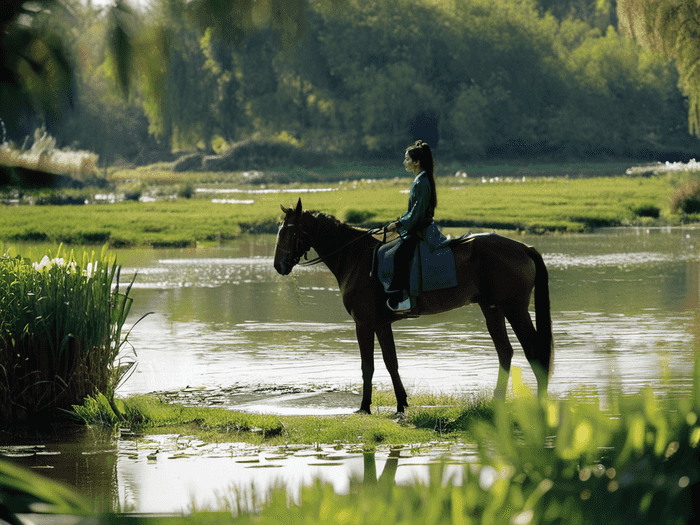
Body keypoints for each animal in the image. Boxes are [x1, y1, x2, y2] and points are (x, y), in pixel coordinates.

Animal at [274, 199, 552, 412]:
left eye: (289, 231)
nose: (278, 265)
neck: (357, 258)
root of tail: (523, 247)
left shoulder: (363, 324)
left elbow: (368, 366)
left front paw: (364, 407)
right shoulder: (381, 324)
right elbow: (391, 362)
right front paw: (401, 403)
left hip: (514, 309)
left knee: (534, 351)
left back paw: (540, 404)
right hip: (492, 309)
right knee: (505, 352)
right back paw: (498, 402)